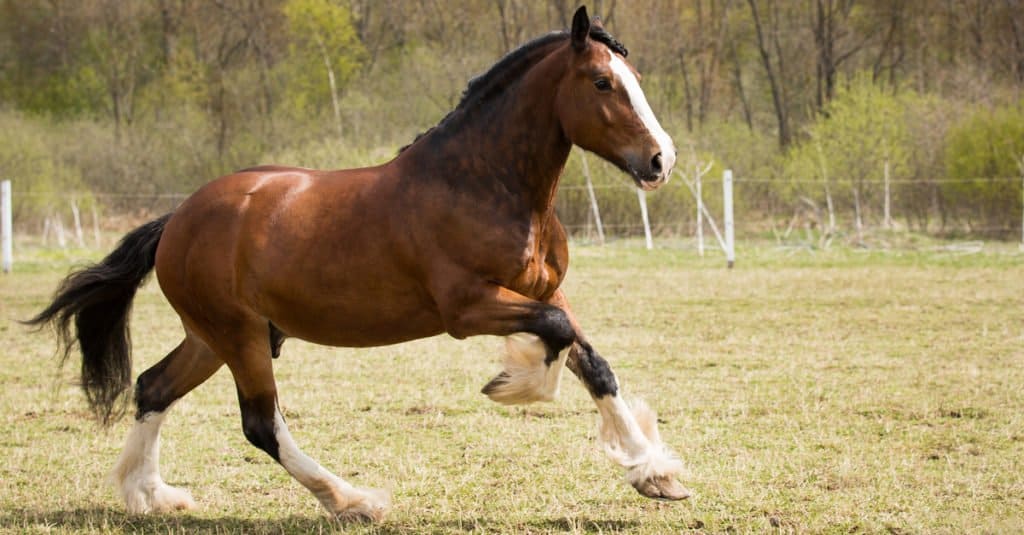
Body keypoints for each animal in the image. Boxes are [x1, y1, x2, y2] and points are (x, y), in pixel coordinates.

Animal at [28, 6, 689, 521]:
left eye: (633, 78)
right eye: (602, 82)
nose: (661, 160)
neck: (481, 183)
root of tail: (177, 219)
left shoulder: (546, 290)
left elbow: (590, 359)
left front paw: (654, 474)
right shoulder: (468, 308)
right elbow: (554, 337)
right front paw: (515, 383)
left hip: (214, 336)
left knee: (153, 386)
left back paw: (151, 496)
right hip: (237, 336)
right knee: (260, 424)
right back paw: (354, 501)